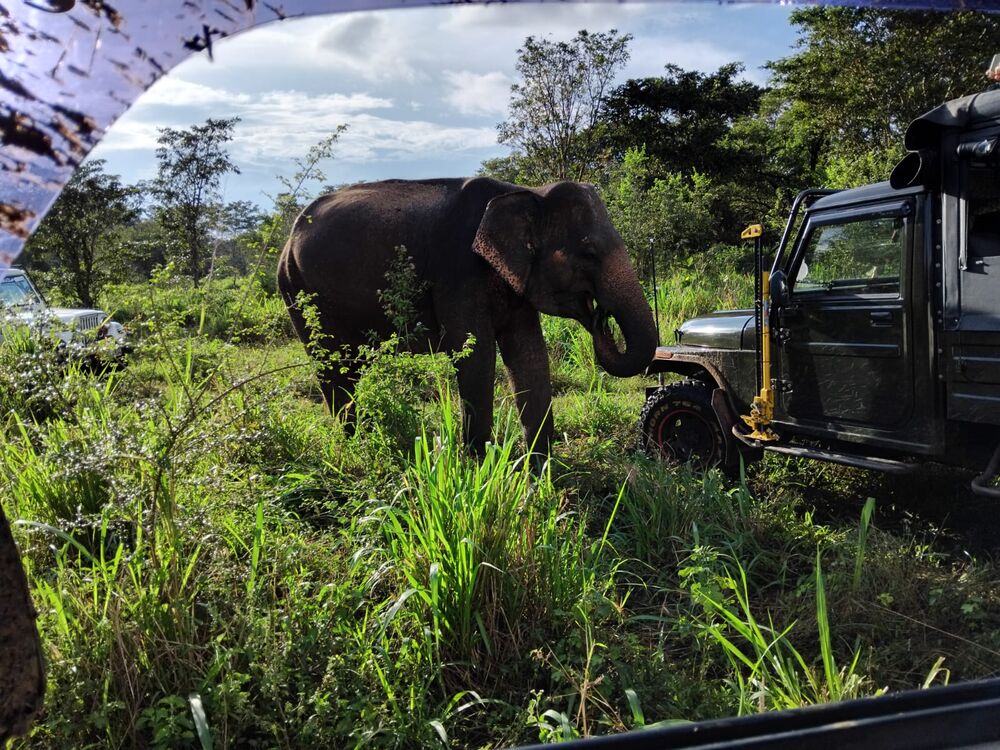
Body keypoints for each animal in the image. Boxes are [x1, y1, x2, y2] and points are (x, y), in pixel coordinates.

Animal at [277, 177, 657, 454]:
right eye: (589, 253)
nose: (600, 317)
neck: (527, 192)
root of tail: (289, 238)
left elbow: (529, 352)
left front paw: (542, 468)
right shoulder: (457, 274)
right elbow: (475, 354)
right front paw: (479, 464)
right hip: (299, 292)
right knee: (334, 370)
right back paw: (358, 445)